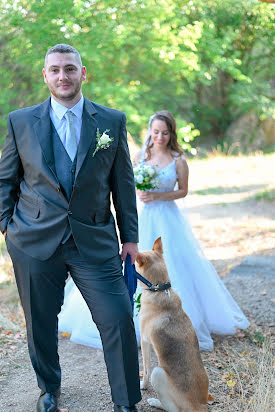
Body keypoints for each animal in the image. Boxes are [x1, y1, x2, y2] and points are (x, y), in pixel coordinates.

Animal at [136, 237, 209, 410]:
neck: (160, 289)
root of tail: (199, 406)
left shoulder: (144, 340)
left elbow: (146, 369)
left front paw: (143, 385)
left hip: (158, 373)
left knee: (171, 408)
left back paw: (155, 402)